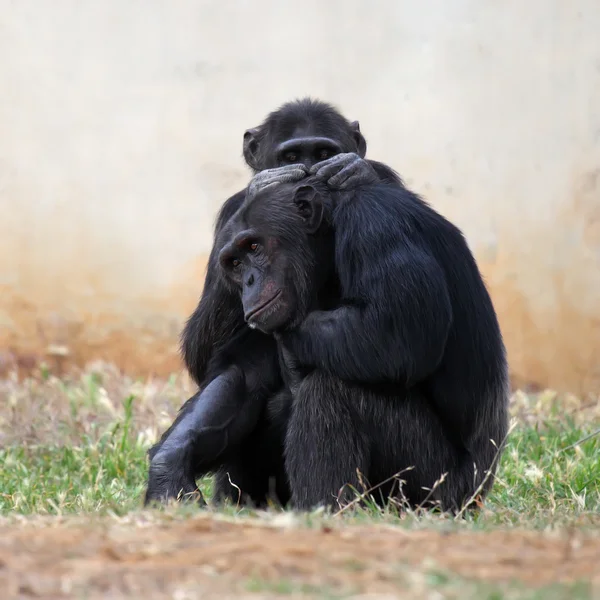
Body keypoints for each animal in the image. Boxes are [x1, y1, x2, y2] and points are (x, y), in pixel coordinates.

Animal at [144, 98, 404, 506]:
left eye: (324, 154)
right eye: (291, 157)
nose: (308, 176)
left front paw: (353, 173)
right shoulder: (229, 216)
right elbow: (204, 355)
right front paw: (263, 187)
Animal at [209, 177, 508, 510]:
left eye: (254, 246)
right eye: (235, 263)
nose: (248, 281)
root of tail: (477, 496)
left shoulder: (374, 225)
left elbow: (395, 332)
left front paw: (287, 343)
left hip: (434, 488)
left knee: (331, 389)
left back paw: (324, 509)